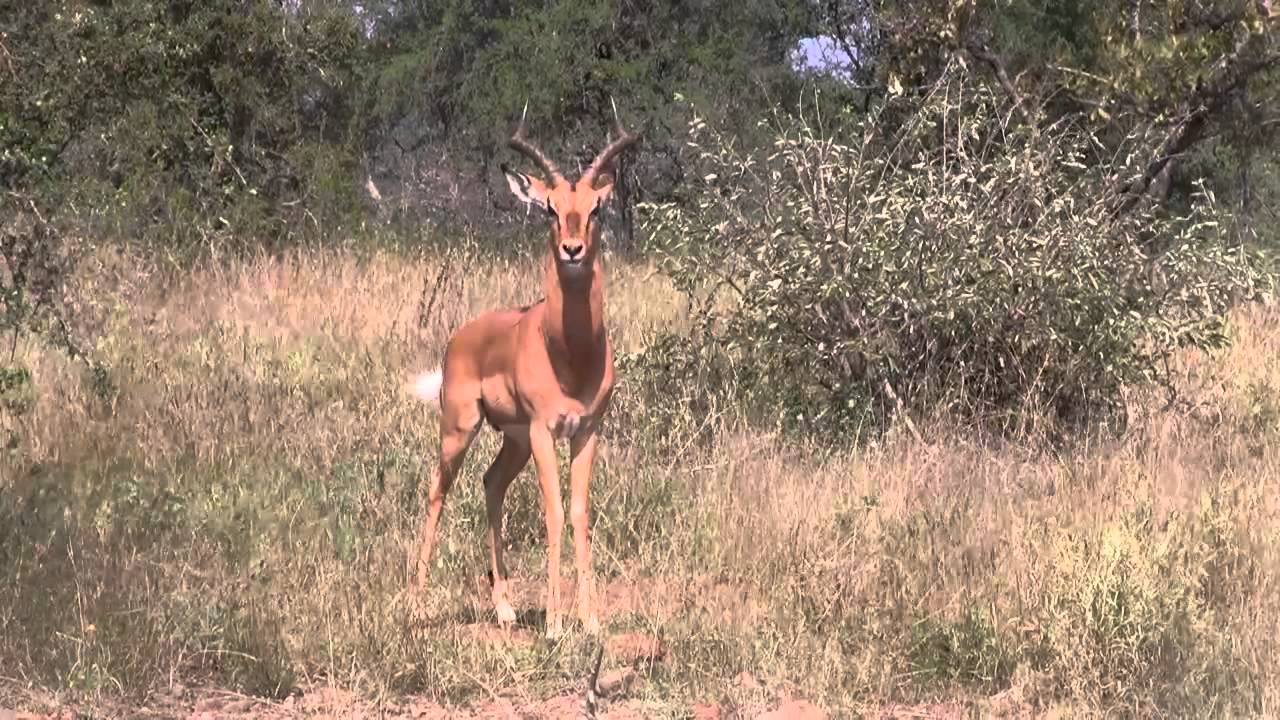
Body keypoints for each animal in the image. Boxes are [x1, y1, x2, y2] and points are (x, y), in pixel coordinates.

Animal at [407, 109, 639, 636]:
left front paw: (590, 620)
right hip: (461, 428)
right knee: (436, 491)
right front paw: (554, 623)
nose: (573, 249)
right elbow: (552, 511)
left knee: (491, 483)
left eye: (596, 208)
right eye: (550, 208)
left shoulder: (586, 430)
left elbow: (579, 512)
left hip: (511, 441)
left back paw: (506, 609)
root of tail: (460, 336)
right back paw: (414, 606)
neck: (570, 356)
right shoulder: (543, 429)